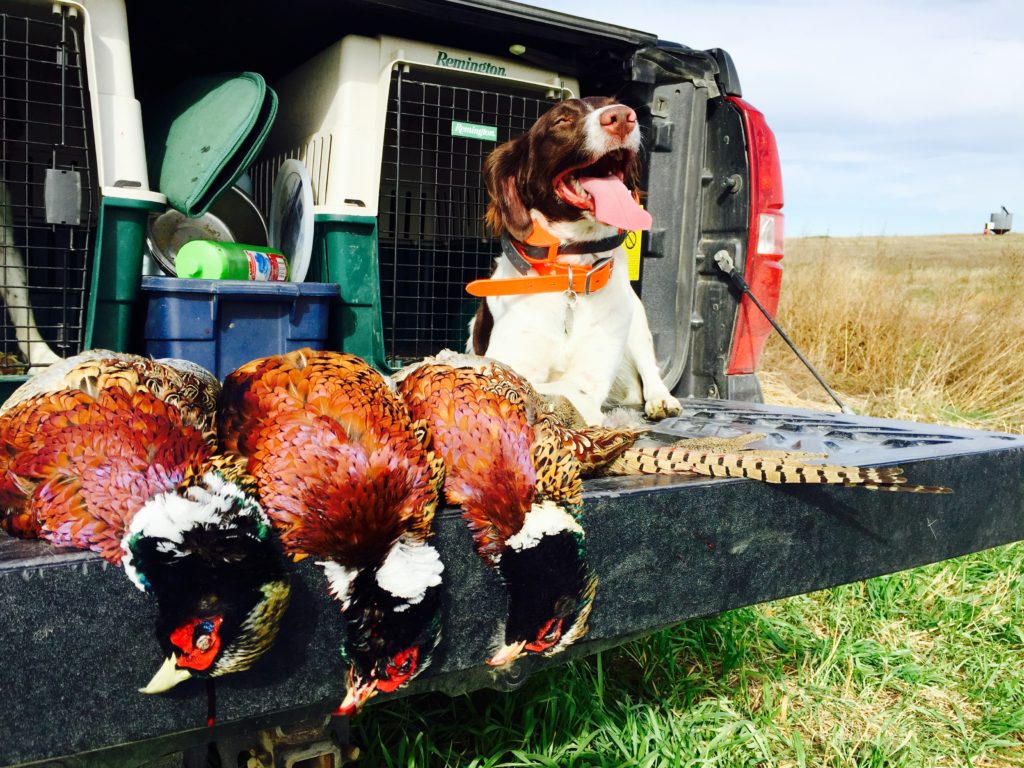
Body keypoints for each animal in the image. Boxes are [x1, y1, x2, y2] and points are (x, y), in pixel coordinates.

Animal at [468, 97, 679, 428]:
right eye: (562, 120)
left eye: (614, 103)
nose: (622, 117)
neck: (571, 274)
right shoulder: (507, 361)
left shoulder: (592, 376)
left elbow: (571, 390)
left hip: (636, 323)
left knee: (649, 369)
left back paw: (661, 399)